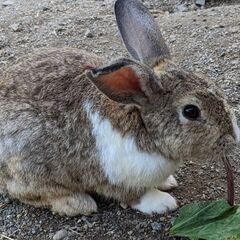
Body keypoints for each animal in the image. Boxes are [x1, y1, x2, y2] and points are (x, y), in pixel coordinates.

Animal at [0, 0, 239, 218]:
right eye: (191, 111)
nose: (232, 139)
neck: (142, 125)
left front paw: (168, 182)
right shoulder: (117, 177)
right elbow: (136, 196)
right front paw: (163, 202)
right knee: (26, 192)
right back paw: (77, 203)